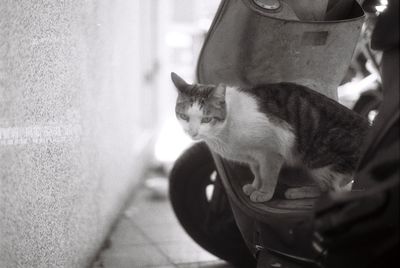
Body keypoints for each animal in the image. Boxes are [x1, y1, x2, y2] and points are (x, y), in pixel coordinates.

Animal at [170, 72, 370, 202]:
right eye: (184, 116)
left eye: (206, 119)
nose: (193, 132)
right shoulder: (254, 158)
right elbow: (257, 172)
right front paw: (254, 186)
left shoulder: (273, 149)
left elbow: (268, 174)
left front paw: (264, 193)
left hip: (318, 159)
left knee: (328, 190)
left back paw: (298, 192)